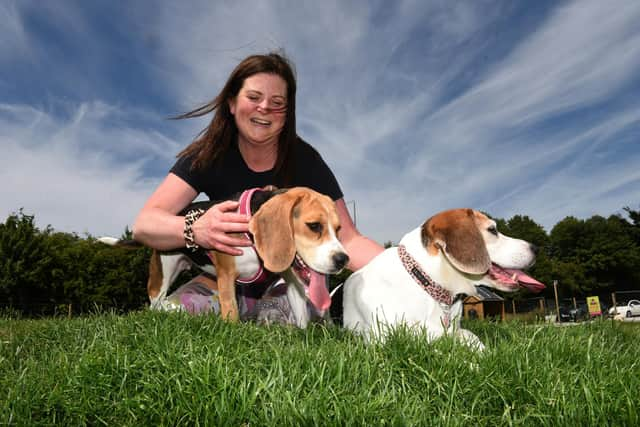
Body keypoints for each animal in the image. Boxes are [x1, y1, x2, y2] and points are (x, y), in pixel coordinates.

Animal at [100, 188, 350, 328]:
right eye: (314, 226)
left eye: (338, 229)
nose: (342, 259)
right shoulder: (227, 276)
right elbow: (231, 312)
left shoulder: (292, 279)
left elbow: (300, 316)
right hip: (161, 275)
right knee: (155, 304)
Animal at [342, 208, 544, 352]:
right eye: (492, 230)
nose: (536, 248)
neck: (425, 282)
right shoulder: (384, 341)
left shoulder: (454, 330)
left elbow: (471, 336)